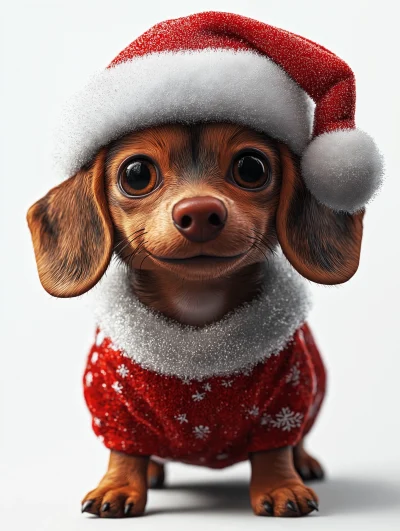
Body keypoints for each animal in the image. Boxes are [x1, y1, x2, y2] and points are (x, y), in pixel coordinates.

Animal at [26, 122, 364, 516]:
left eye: (251, 168)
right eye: (136, 174)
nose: (201, 212)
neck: (197, 310)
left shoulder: (284, 400)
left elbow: (274, 451)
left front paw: (282, 487)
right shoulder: (116, 406)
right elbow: (125, 453)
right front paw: (119, 486)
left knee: (298, 442)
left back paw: (304, 462)